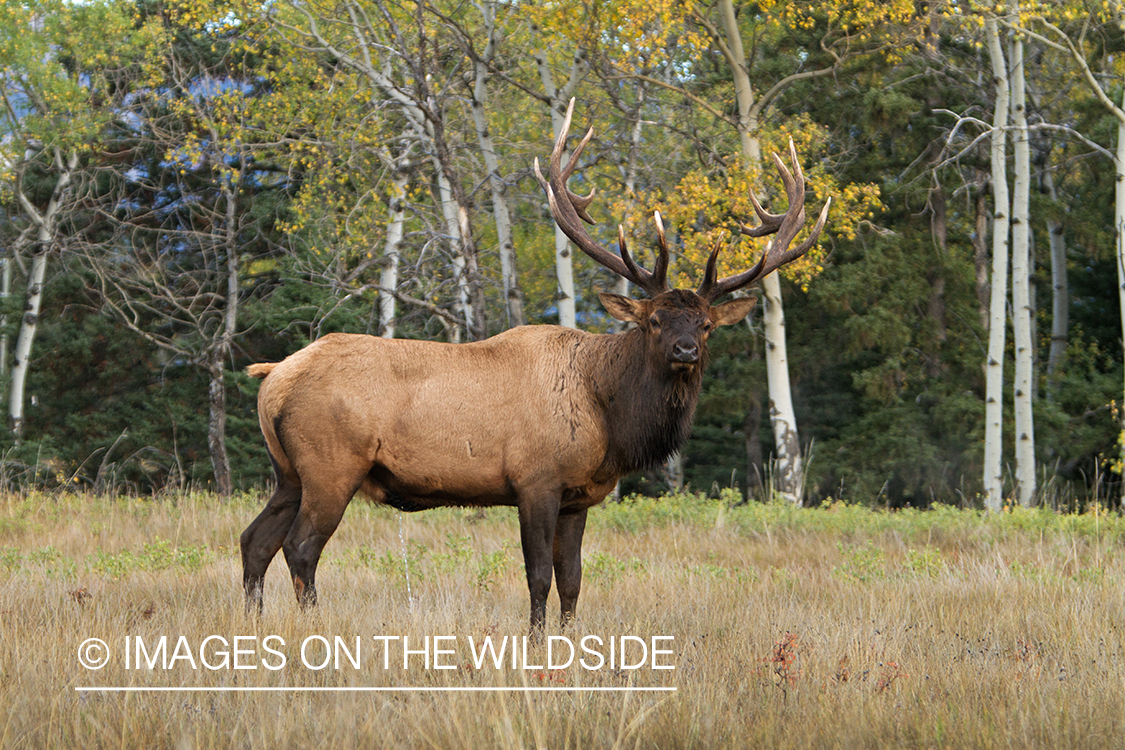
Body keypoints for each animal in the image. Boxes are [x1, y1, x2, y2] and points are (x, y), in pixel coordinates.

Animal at [239, 98, 828, 629]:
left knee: (254, 540)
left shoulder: (578, 498)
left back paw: (254, 624)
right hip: (331, 463)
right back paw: (313, 627)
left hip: (288, 471)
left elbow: (573, 578)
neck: (608, 417)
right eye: (654, 320)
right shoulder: (535, 480)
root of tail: (273, 378)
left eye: (705, 325)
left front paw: (568, 639)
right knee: (300, 547)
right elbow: (539, 575)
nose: (686, 351)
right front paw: (537, 640)